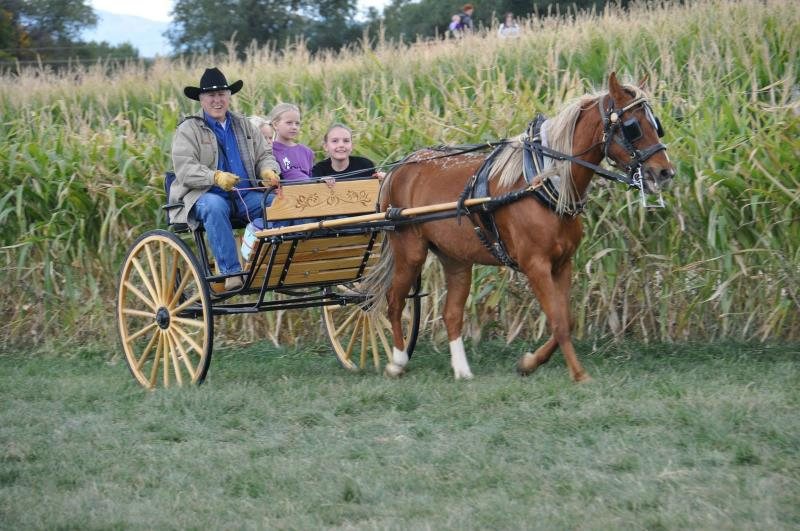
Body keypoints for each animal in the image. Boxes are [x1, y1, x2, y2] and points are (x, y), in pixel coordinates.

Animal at [368, 74, 676, 382]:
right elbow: (558, 321)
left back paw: (462, 370)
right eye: (633, 126)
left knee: (451, 313)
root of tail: (399, 168)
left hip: (456, 259)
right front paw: (578, 374)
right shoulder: (535, 265)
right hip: (410, 252)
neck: (543, 181)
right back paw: (397, 362)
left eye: (656, 124)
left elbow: (567, 319)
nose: (665, 172)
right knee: (394, 301)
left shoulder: (562, 263)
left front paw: (529, 362)